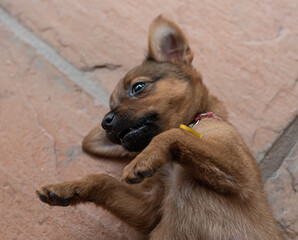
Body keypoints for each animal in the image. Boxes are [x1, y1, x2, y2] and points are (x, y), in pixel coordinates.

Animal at [36, 15, 280, 239]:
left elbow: (173, 135)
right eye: (111, 106)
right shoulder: (149, 208)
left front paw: (143, 158)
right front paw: (68, 189)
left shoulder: (240, 171)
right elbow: (103, 181)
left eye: (138, 87)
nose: (105, 121)